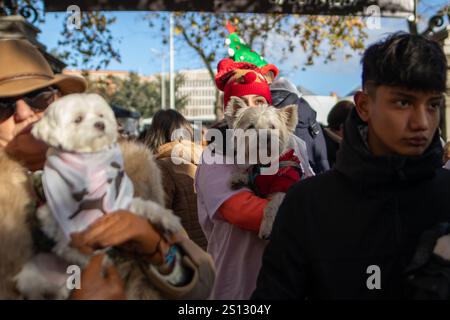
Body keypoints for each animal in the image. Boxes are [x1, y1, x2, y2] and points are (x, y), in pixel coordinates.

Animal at [14, 93, 183, 300]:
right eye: (78, 119)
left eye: (101, 115)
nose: (101, 124)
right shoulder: (51, 216)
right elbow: (68, 241)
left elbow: (145, 207)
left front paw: (167, 220)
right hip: (30, 277)